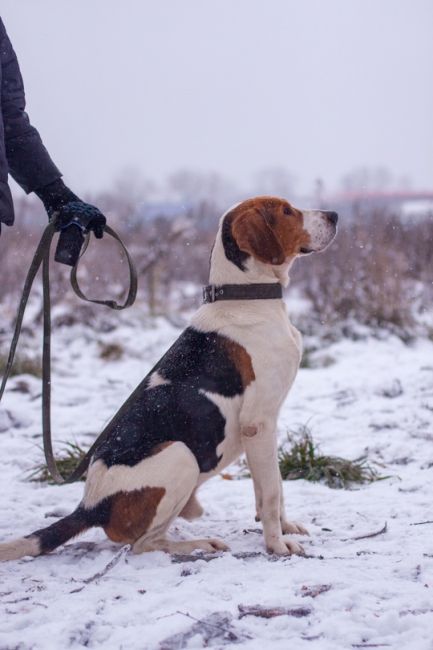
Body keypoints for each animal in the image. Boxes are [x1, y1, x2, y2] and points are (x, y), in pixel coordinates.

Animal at [0, 195, 338, 560]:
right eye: (287, 211)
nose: (334, 215)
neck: (246, 297)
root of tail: (91, 505)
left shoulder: (267, 426)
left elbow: (273, 490)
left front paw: (285, 527)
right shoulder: (258, 423)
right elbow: (273, 491)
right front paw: (277, 544)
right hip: (180, 455)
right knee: (143, 545)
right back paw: (198, 544)